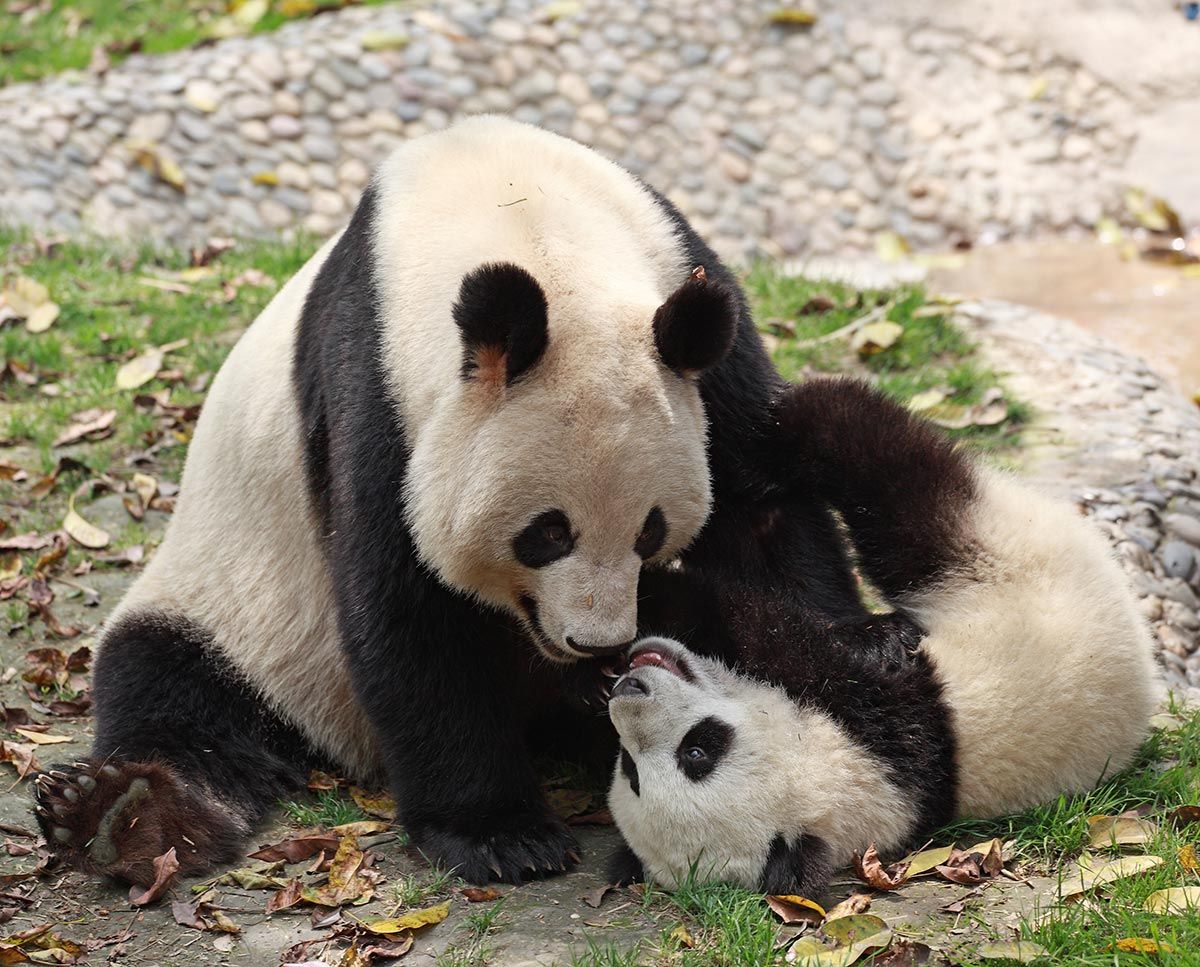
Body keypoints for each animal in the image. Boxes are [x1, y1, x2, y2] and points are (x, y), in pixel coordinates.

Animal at [34, 117, 887, 887]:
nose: (598, 642)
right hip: (244, 606)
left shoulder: (691, 297)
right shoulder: (374, 393)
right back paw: (122, 816)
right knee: (174, 691)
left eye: (650, 533)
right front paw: (500, 835)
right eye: (546, 533)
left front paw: (855, 651)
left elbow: (756, 498)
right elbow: (407, 604)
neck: (522, 218)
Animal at [606, 378, 1163, 895]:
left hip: (996, 564)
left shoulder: (878, 717)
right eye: (631, 769)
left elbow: (760, 626)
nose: (630, 687)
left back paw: (787, 422)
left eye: (698, 750)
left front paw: (652, 596)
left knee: (894, 476)